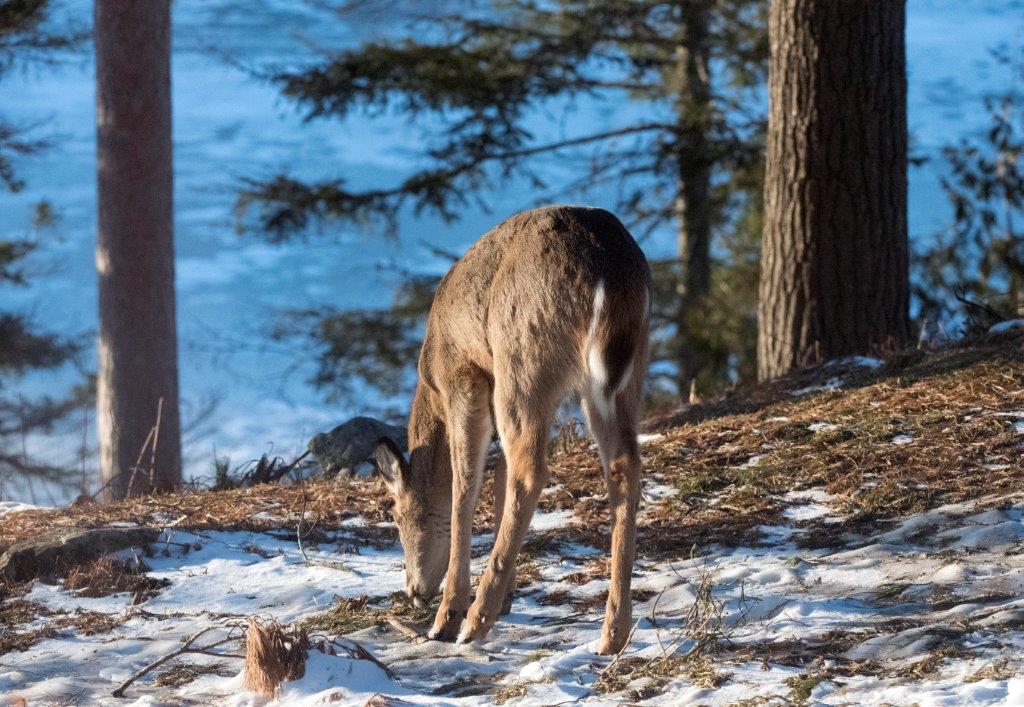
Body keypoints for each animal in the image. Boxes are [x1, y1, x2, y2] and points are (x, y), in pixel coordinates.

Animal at [373, 205, 650, 654]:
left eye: (395, 516)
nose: (413, 591)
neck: (431, 379)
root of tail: (607, 268)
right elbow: (498, 476)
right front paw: (507, 597)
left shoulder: (464, 378)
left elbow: (465, 488)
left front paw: (448, 615)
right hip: (625, 368)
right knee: (623, 462)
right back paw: (612, 634)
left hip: (522, 355)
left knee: (530, 471)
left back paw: (473, 621)